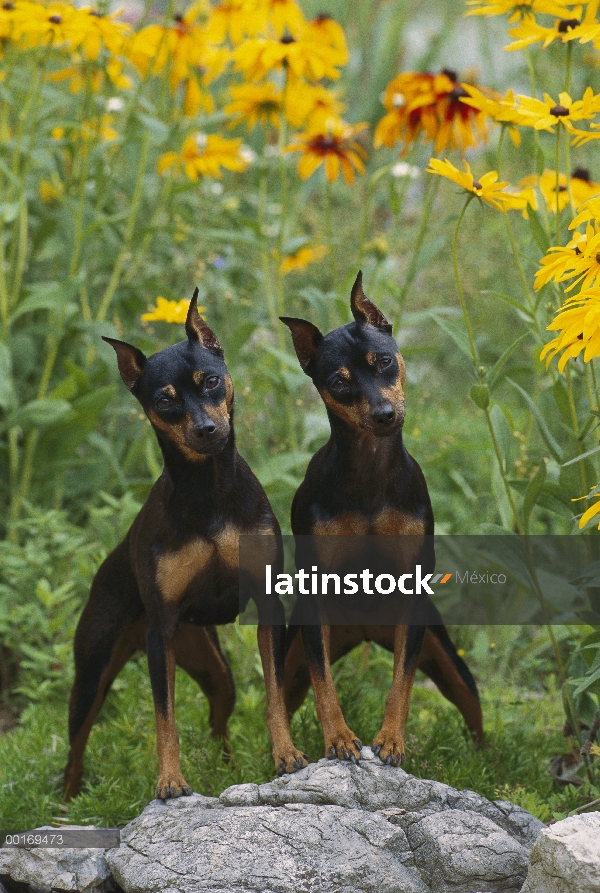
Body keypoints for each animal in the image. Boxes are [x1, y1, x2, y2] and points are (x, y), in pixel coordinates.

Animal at [64, 292, 310, 800]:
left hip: (214, 668)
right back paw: (69, 799)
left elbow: (275, 693)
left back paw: (227, 767)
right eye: (164, 401)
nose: (205, 430)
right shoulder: (161, 636)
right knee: (75, 747)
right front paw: (170, 780)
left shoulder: (267, 607)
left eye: (211, 381)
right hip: (95, 673)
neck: (208, 491)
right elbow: (166, 718)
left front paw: (285, 754)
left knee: (220, 721)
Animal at [280, 274, 482, 768]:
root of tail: (364, 632)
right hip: (296, 653)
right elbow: (324, 684)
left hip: (446, 658)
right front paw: (339, 738)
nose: (385, 415)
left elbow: (402, 683)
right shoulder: (315, 597)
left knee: (473, 713)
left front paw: (391, 740)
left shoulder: (411, 595)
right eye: (339, 381)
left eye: (385, 361)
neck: (370, 476)